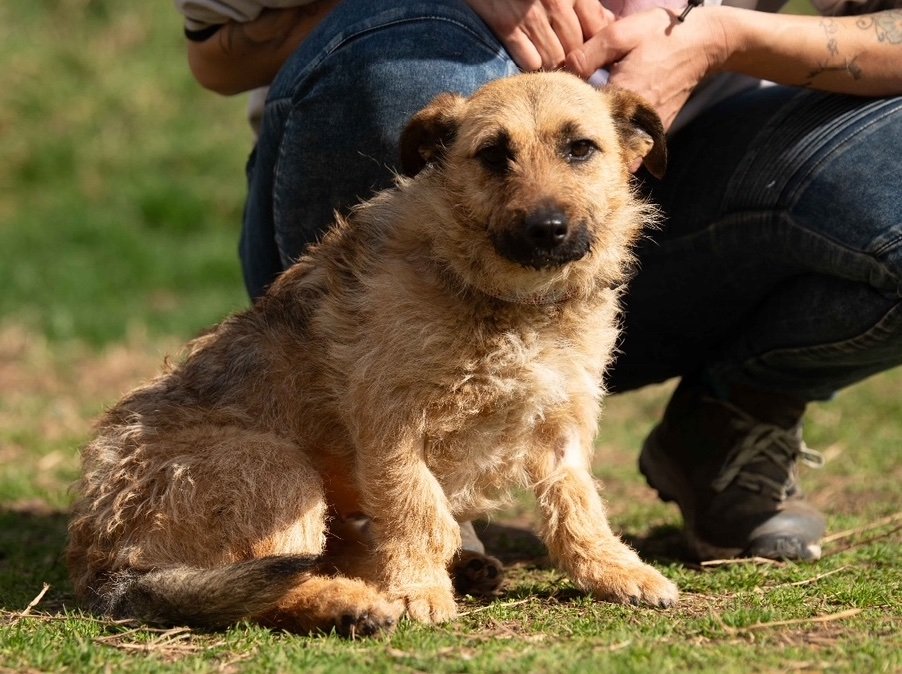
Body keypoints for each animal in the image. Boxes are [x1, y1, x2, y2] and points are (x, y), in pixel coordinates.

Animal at [67, 71, 677, 638]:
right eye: (493, 154)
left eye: (581, 148)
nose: (547, 229)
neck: (508, 302)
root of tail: (107, 567)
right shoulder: (393, 423)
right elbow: (417, 510)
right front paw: (419, 592)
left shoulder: (560, 423)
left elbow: (578, 507)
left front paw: (617, 571)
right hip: (274, 465)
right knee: (275, 587)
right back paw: (355, 604)